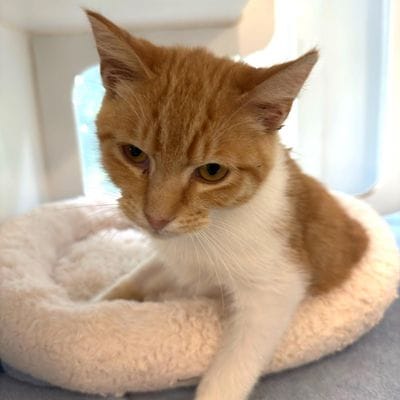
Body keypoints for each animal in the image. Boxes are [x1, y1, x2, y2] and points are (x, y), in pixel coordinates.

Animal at [86, 10, 368, 400]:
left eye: (212, 171)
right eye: (134, 153)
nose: (156, 218)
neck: (211, 228)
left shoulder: (275, 289)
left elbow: (233, 367)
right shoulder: (172, 259)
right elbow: (137, 275)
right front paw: (88, 307)